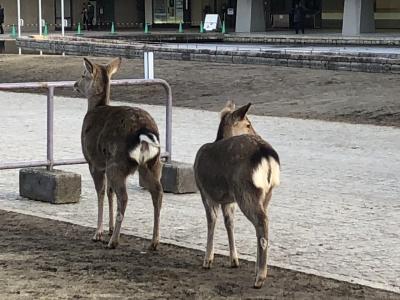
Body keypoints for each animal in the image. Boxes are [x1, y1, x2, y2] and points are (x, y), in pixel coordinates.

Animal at [74, 57, 163, 250]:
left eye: (83, 74)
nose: (74, 84)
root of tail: (144, 130)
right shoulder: (104, 164)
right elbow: (109, 192)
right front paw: (108, 227)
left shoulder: (94, 162)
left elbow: (101, 192)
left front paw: (98, 233)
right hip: (152, 163)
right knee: (157, 192)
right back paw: (154, 241)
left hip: (118, 162)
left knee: (124, 197)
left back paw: (113, 241)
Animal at [194, 101, 282, 288]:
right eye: (248, 124)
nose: (257, 133)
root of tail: (265, 154)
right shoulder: (229, 200)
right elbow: (229, 223)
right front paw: (234, 260)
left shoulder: (205, 192)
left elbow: (211, 222)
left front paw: (207, 261)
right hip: (266, 193)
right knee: (262, 222)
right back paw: (257, 270)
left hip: (245, 190)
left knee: (262, 222)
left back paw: (260, 277)